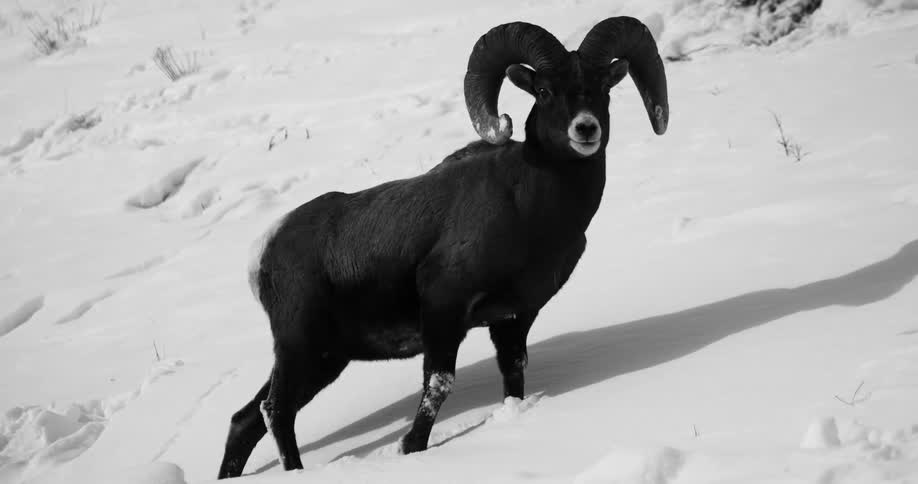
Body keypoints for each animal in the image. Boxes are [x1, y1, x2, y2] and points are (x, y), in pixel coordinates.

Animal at [217, 16, 669, 479]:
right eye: (544, 91)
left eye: (604, 88)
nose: (585, 129)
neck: (531, 208)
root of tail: (264, 250)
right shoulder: (444, 308)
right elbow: (439, 384)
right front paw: (411, 448)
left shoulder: (514, 317)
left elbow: (514, 374)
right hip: (303, 351)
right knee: (276, 410)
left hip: (324, 359)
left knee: (247, 419)